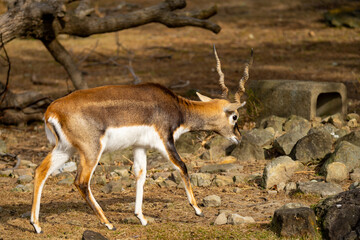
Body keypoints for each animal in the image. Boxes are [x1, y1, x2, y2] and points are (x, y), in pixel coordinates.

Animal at [31, 46, 255, 232]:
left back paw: (36, 225)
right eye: (235, 117)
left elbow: (140, 174)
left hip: (64, 149)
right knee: (81, 181)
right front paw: (197, 209)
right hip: (91, 150)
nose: (238, 137)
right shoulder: (165, 141)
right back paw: (108, 223)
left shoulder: (140, 146)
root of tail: (52, 110)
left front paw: (141, 217)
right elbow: (182, 166)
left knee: (41, 171)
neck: (177, 108)